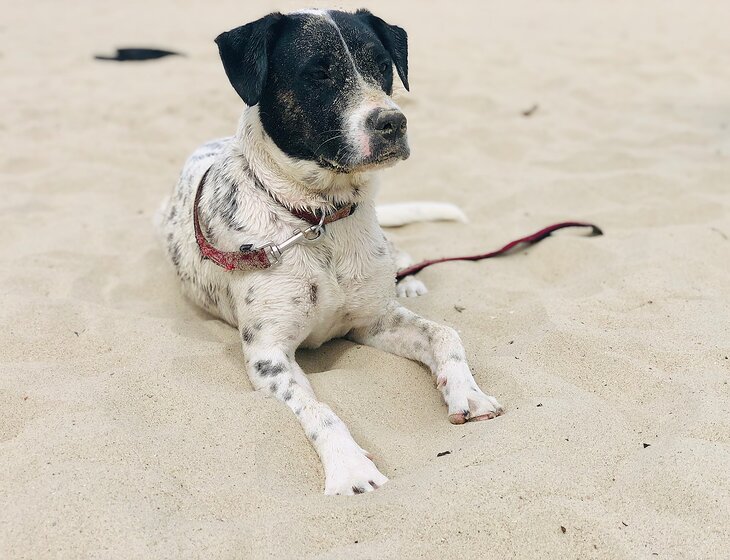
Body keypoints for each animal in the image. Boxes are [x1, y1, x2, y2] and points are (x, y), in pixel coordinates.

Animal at [158, 8, 503, 495]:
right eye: (318, 74)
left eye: (382, 65)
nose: (393, 122)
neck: (318, 217)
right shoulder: (269, 358)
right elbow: (320, 410)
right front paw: (350, 468)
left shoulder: (373, 320)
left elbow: (444, 334)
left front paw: (467, 393)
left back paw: (409, 279)